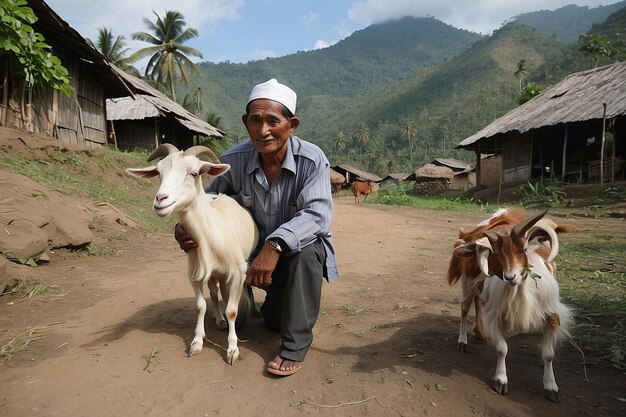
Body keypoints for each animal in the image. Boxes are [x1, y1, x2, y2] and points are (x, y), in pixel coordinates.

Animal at [125, 144, 258, 364]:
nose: (160, 199)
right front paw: (197, 342)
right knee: (214, 293)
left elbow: (232, 310)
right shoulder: (195, 273)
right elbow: (200, 305)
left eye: (194, 173)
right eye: (158, 173)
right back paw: (219, 320)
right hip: (212, 273)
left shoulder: (238, 273)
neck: (212, 233)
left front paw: (232, 349)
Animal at [446, 208, 572, 404]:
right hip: (468, 284)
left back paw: (480, 333)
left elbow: (548, 354)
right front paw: (500, 380)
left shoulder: (551, 315)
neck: (519, 291)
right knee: (465, 309)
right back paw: (463, 341)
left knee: (478, 301)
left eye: (523, 249)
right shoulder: (496, 315)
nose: (510, 276)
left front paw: (551, 387)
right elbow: (502, 348)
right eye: (495, 254)